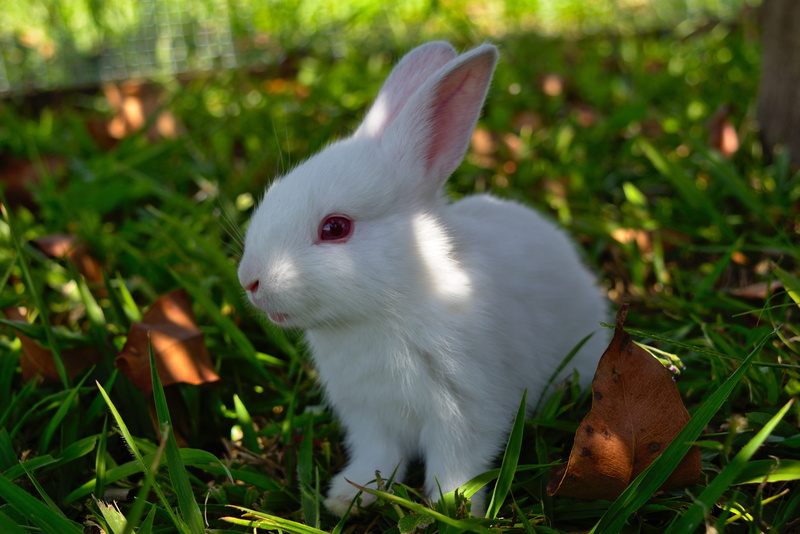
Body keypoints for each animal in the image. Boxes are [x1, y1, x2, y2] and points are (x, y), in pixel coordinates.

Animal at [237, 41, 610, 517]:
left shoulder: (464, 411)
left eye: (335, 228)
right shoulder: (369, 417)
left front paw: (453, 508)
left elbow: (457, 463)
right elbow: (378, 457)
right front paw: (348, 496)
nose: (250, 281)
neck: (389, 306)